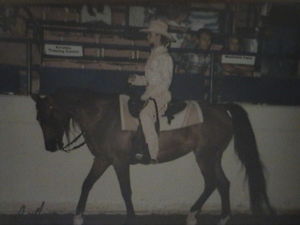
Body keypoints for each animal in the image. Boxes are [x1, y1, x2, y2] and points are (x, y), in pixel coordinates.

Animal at [31, 88, 274, 225]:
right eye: (38, 119)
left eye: (47, 117)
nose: (49, 147)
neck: (103, 116)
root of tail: (222, 108)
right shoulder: (102, 159)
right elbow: (87, 183)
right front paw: (78, 217)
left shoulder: (119, 162)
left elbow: (125, 191)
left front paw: (131, 218)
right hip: (213, 157)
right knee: (223, 183)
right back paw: (222, 218)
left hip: (205, 156)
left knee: (212, 182)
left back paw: (192, 215)